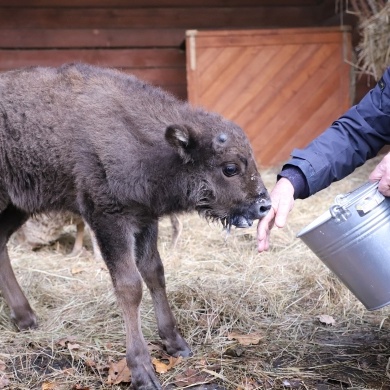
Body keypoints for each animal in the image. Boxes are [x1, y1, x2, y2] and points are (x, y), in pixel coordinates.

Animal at [0, 62, 272, 388]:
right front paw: (142, 371)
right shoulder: (109, 219)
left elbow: (155, 272)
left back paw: (25, 317)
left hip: (16, 206)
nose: (264, 205)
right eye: (230, 168)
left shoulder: (144, 220)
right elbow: (130, 286)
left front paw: (176, 343)